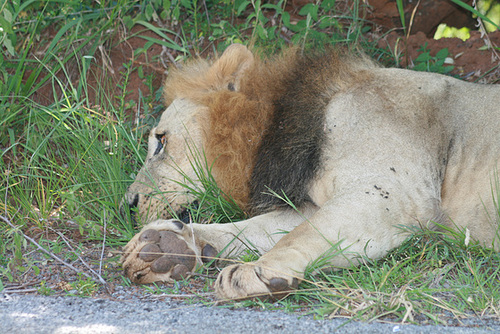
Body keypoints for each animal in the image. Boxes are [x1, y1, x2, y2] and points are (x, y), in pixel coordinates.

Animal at [120, 43, 500, 298]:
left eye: (160, 141)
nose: (129, 205)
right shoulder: (307, 204)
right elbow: (248, 230)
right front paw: (165, 246)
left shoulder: (394, 193)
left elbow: (303, 235)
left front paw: (258, 272)